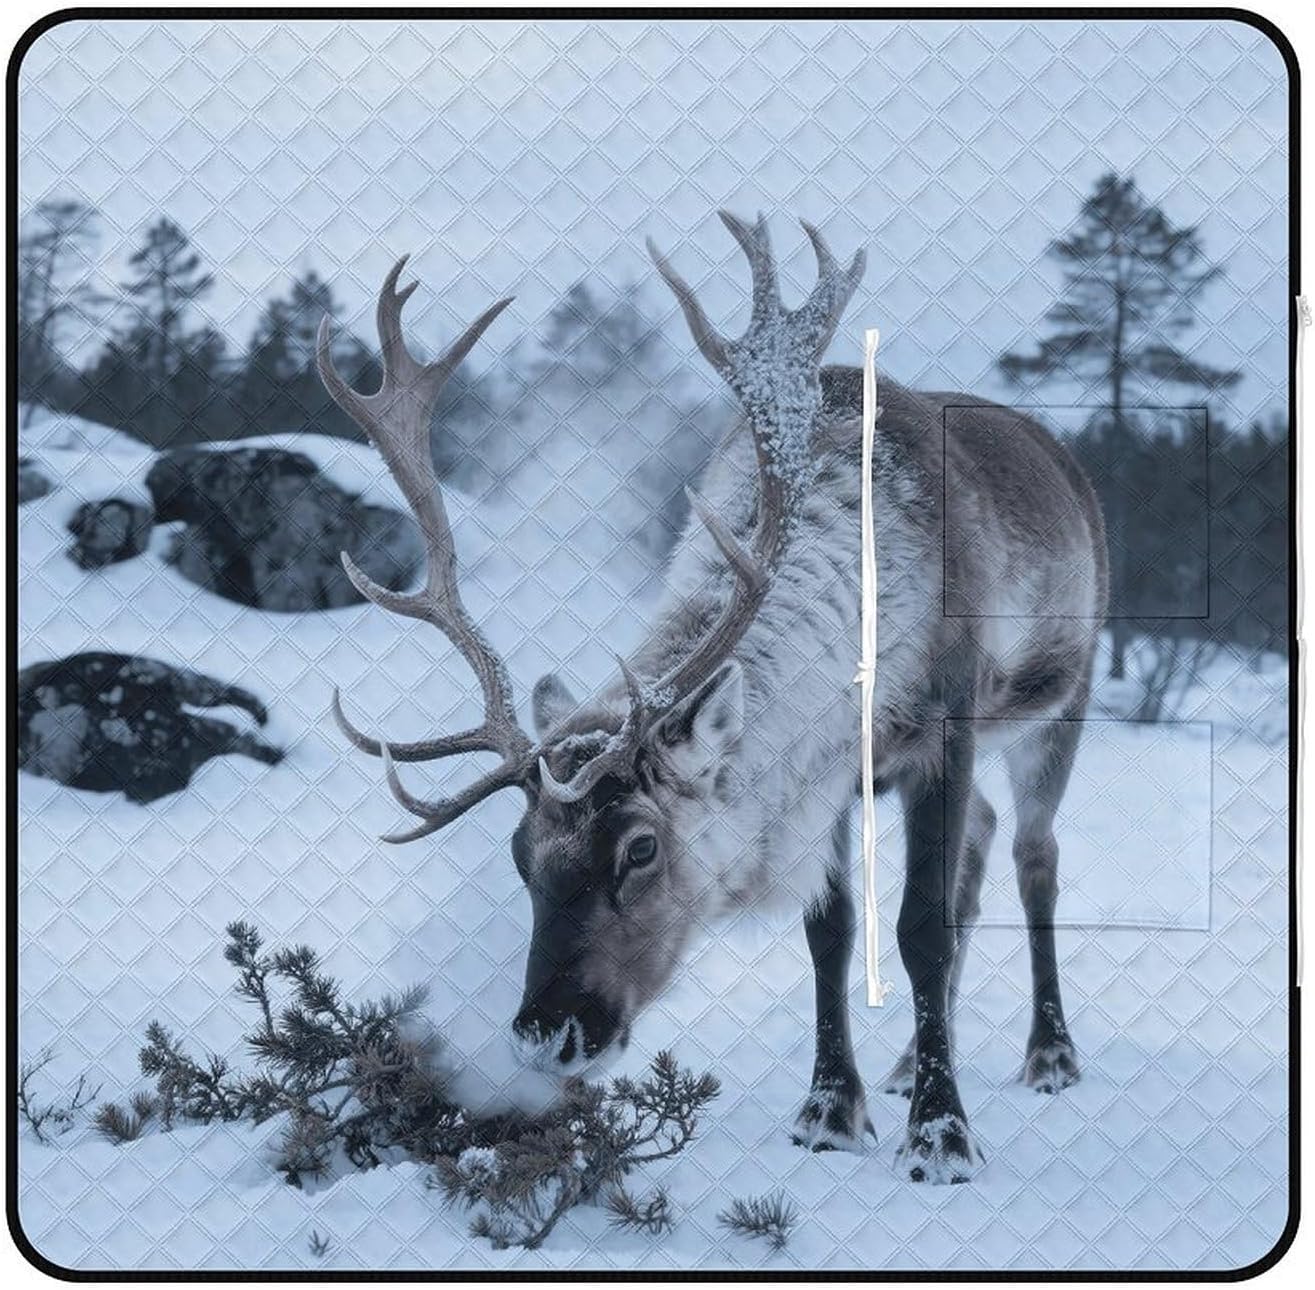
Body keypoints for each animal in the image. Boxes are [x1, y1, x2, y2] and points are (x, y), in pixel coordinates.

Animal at [317, 213, 1107, 1184]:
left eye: (641, 848)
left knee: (1035, 855)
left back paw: (1049, 1054)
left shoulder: (942, 727)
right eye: (518, 854)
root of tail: (1063, 461)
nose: (546, 1037)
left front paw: (941, 1135)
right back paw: (901, 1066)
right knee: (985, 838)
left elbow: (919, 928)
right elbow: (831, 929)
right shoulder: (823, 767)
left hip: (1062, 698)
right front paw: (830, 1108)